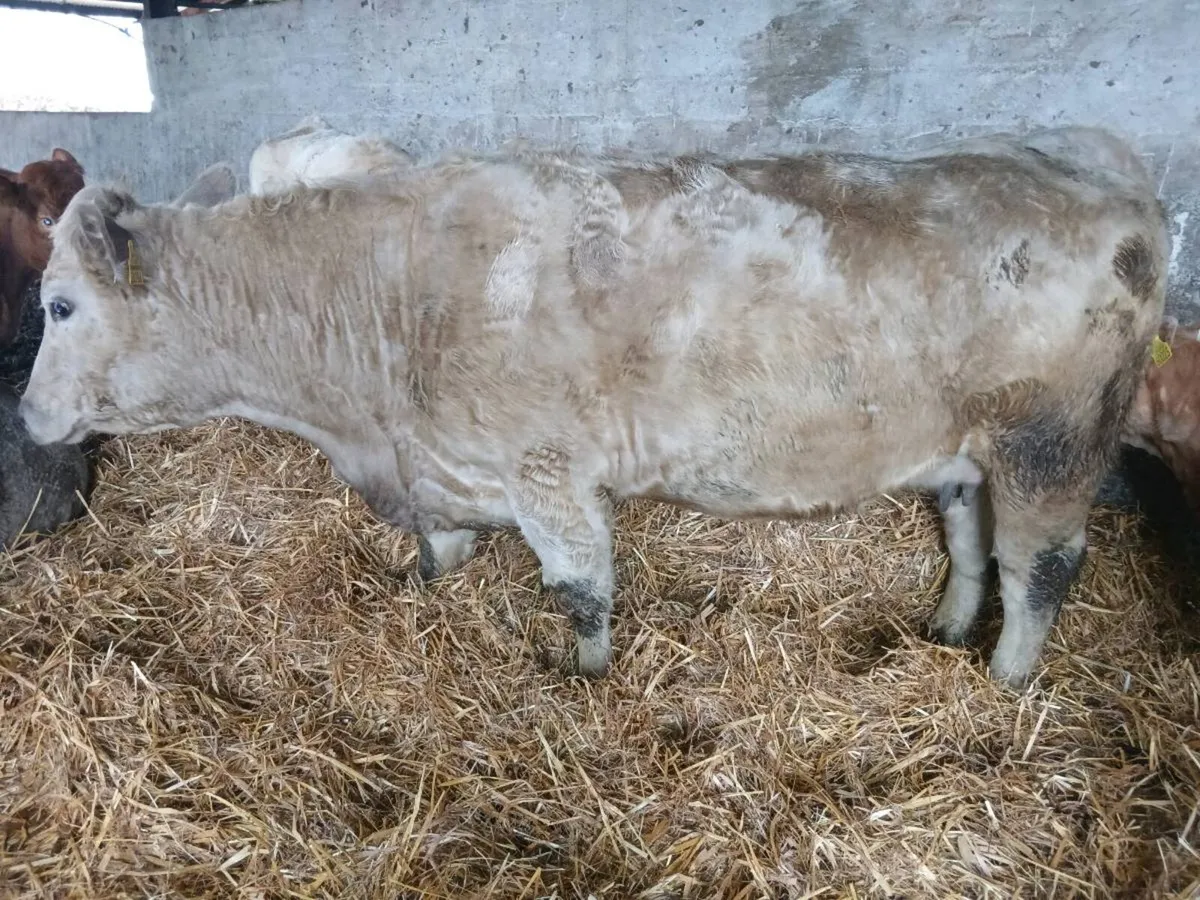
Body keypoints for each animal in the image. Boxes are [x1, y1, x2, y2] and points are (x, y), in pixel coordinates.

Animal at [16, 128, 1168, 689]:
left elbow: (581, 591)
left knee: (1041, 569)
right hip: (966, 451)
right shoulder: (444, 467)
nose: (26, 419)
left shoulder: (548, 472)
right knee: (972, 544)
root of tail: (1115, 188)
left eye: (59, 304)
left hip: (1052, 445)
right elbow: (440, 552)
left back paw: (1006, 686)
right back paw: (946, 629)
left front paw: (585, 681)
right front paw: (426, 591)